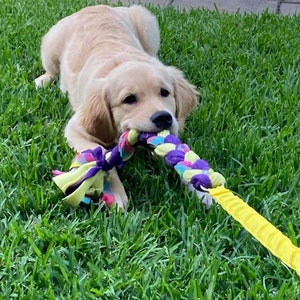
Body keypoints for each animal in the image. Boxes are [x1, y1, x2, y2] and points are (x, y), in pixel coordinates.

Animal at [35, 5, 198, 210]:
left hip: (146, 22)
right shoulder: (75, 129)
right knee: (51, 70)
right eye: (129, 99)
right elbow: (101, 154)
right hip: (50, 44)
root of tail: (94, 6)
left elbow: (182, 153)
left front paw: (201, 190)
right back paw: (43, 80)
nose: (163, 118)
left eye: (165, 92)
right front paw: (114, 192)